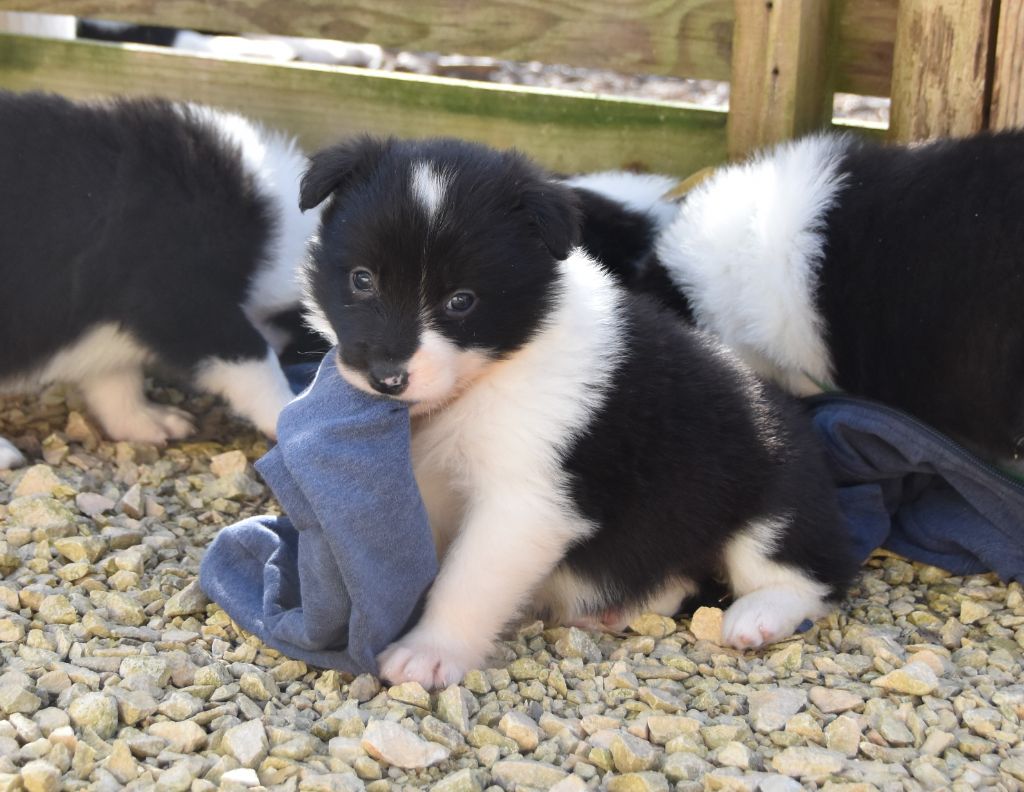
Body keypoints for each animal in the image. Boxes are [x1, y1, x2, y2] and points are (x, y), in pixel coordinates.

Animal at [299, 136, 856, 684]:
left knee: (804, 576)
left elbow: (466, 581)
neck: (488, 376)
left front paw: (430, 651)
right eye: (362, 279)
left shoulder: (525, 503)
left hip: (773, 496)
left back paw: (756, 617)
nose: (387, 378)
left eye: (461, 301)